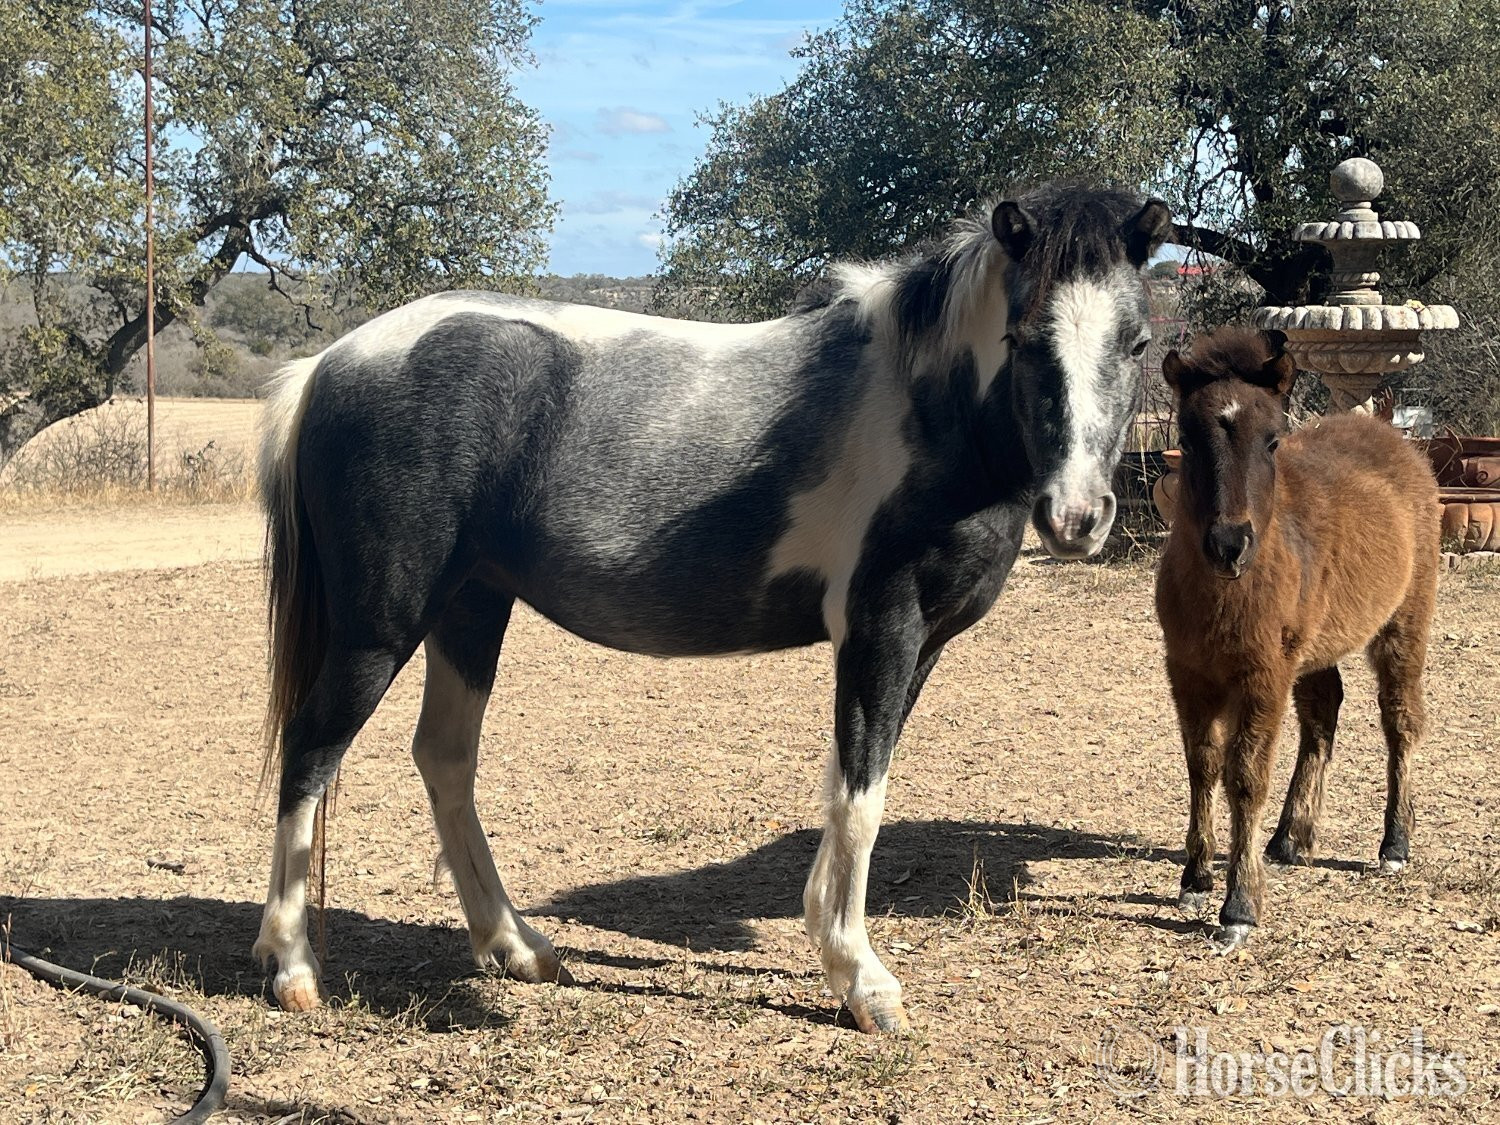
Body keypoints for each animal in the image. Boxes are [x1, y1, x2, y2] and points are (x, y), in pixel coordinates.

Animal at [253, 183, 1172, 1033]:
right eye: (1024, 338)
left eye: (1138, 342)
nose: (1077, 516)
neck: (925, 405)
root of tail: (329, 363)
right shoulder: (883, 627)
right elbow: (862, 800)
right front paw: (863, 979)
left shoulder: (917, 644)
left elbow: (852, 783)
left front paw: (835, 949)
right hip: (381, 625)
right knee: (312, 749)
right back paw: (293, 965)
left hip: (472, 606)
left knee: (444, 757)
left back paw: (515, 945)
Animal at [1155, 328, 1440, 950]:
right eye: (1187, 440)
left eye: (1272, 441)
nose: (1229, 544)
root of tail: (1393, 438)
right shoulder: (1187, 671)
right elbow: (1200, 764)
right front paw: (1195, 878)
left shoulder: (1264, 674)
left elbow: (1243, 776)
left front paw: (1239, 907)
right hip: (1312, 647)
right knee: (1324, 710)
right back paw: (1291, 836)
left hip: (1404, 622)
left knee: (1400, 718)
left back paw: (1395, 844)